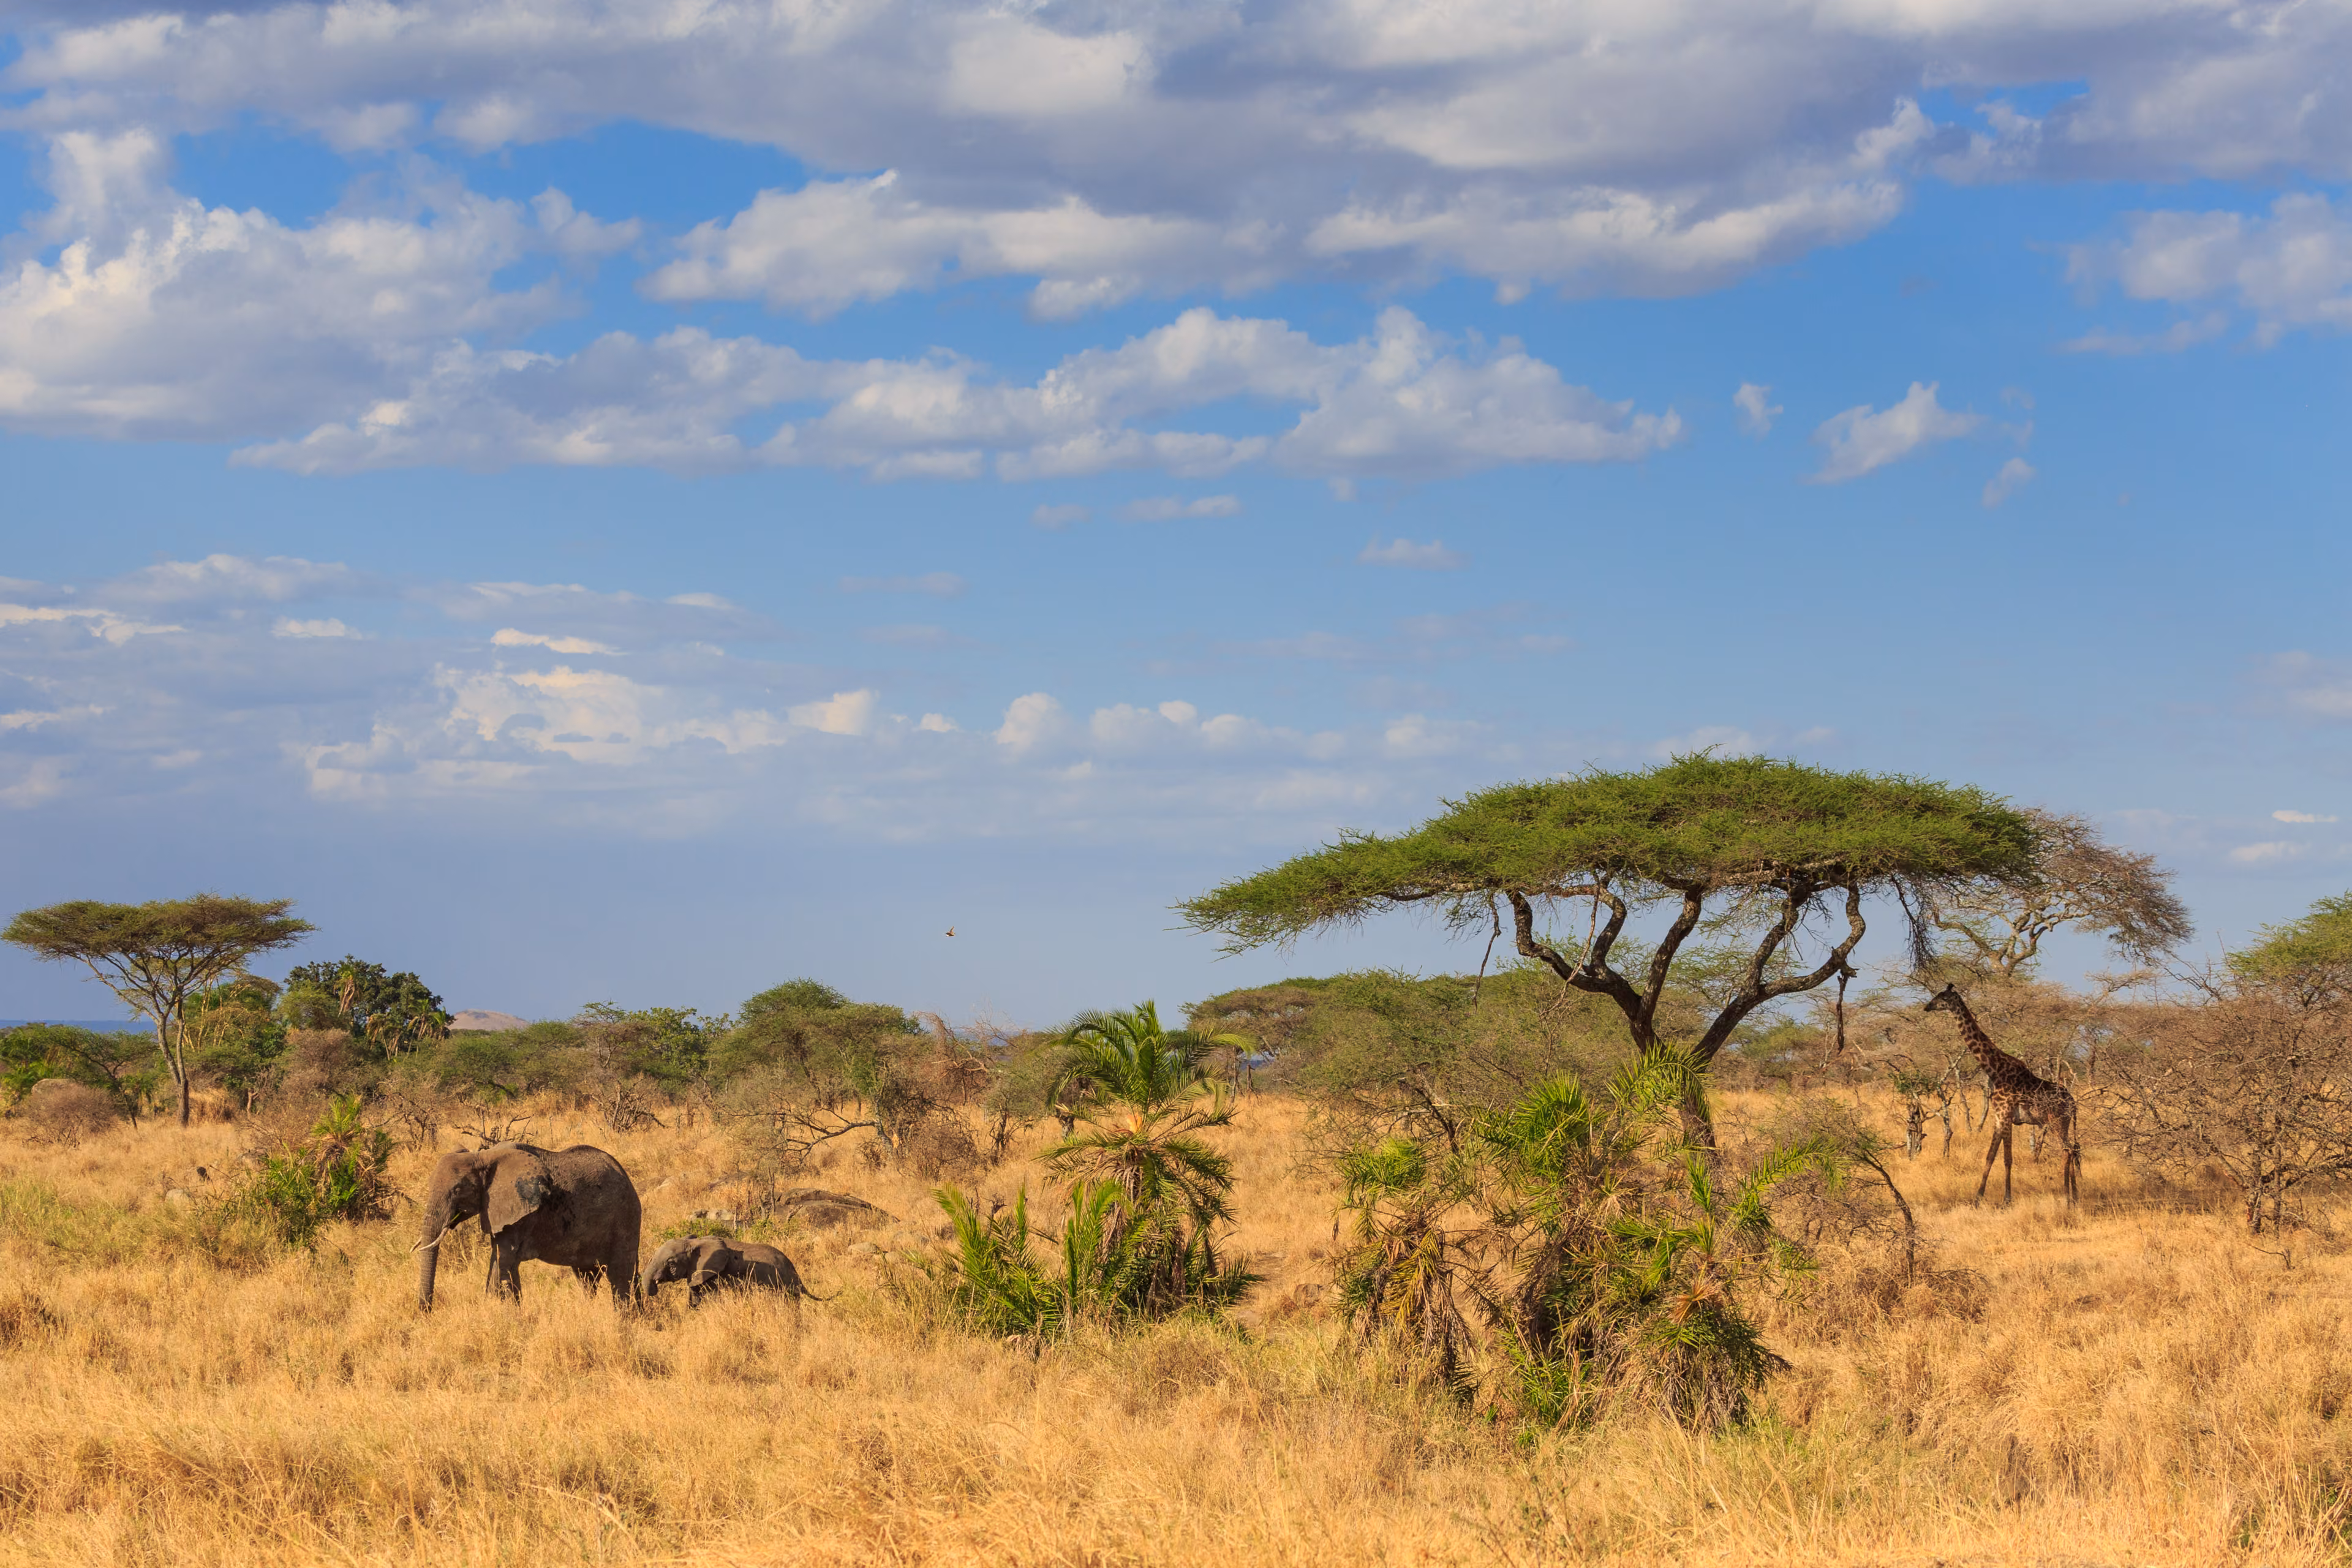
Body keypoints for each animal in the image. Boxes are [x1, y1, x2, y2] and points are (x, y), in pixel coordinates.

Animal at [415, 1141, 642, 1312]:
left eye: (457, 1190)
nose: (426, 1312)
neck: (483, 1157)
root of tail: (626, 1176)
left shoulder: (522, 1213)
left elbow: (504, 1260)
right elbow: (504, 1262)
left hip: (625, 1218)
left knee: (620, 1276)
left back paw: (622, 1320)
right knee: (587, 1278)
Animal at [1923, 984, 2079, 1205]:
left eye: (1942, 997)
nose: (1927, 1007)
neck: (1995, 1070)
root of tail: (2073, 1103)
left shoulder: (2005, 1115)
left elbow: (2007, 1158)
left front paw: (2007, 1199)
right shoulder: (1998, 1117)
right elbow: (1990, 1155)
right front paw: (1978, 1197)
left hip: (2056, 1121)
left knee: (2067, 1150)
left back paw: (2067, 1197)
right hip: (2065, 1123)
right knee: (2073, 1149)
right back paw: (2075, 1195)